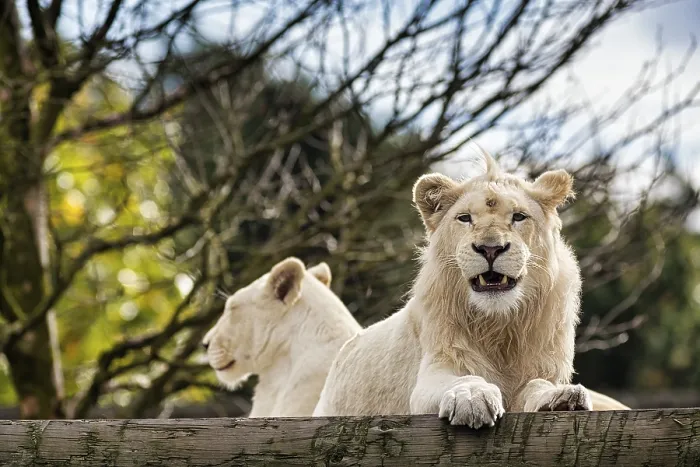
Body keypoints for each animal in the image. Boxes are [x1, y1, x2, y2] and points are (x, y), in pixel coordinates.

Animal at [314, 153, 621, 427]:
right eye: (464, 218)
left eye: (519, 216)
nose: (490, 248)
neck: (500, 326)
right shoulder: (435, 371)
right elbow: (464, 378)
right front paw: (472, 398)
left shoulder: (540, 369)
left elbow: (538, 384)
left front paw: (560, 397)